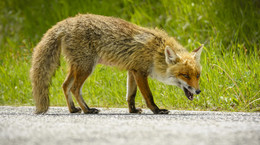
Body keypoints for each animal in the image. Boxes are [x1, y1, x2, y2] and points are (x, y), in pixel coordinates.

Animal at [29, 14, 202, 114]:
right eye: (185, 75)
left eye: (197, 75)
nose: (198, 91)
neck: (156, 52)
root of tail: (68, 22)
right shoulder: (140, 72)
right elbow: (148, 95)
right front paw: (156, 110)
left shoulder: (132, 71)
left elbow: (131, 95)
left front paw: (132, 111)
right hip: (86, 67)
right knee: (74, 88)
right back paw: (87, 110)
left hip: (78, 67)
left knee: (65, 86)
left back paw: (73, 109)